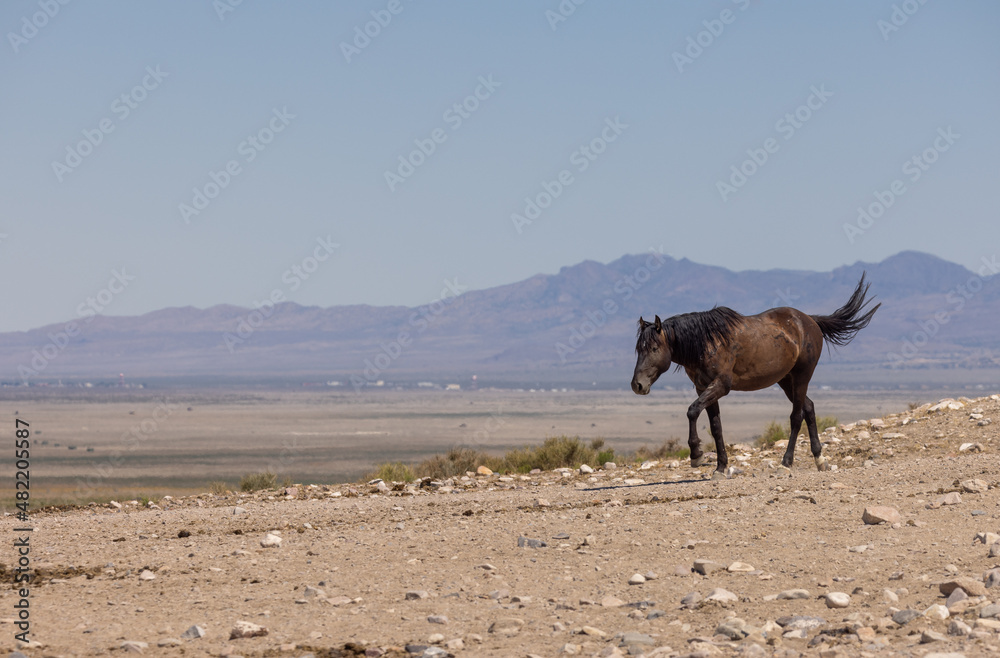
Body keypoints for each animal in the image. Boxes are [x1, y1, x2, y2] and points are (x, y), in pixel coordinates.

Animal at [631, 274, 879, 478]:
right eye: (638, 349)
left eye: (654, 348)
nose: (637, 385)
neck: (706, 342)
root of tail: (809, 321)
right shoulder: (704, 388)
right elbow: (716, 427)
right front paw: (720, 468)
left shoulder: (720, 385)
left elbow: (692, 411)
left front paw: (696, 455)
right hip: (786, 380)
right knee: (809, 408)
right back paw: (820, 460)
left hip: (801, 376)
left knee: (796, 416)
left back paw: (786, 464)